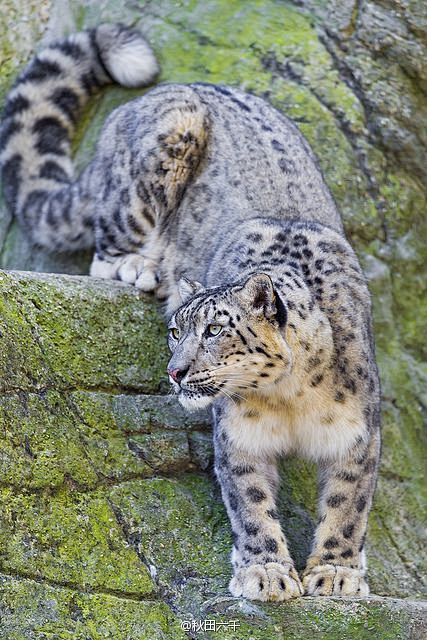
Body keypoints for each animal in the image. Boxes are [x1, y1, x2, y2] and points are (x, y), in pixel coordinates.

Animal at [0, 21, 382, 600]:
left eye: (216, 330)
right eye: (176, 331)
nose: (176, 372)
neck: (290, 397)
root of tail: (147, 99)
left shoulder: (357, 432)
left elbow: (347, 506)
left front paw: (335, 574)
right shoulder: (240, 435)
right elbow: (251, 503)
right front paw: (266, 572)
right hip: (161, 149)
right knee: (105, 242)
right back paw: (136, 266)